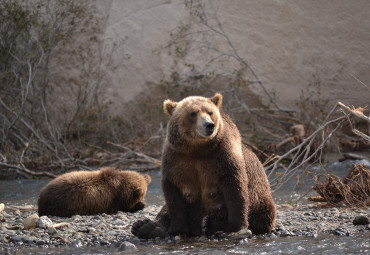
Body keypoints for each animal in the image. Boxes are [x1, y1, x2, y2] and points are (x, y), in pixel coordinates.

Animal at [132, 92, 274, 238]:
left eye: (210, 112)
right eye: (193, 113)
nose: (209, 125)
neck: (197, 149)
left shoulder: (223, 156)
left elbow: (235, 187)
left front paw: (235, 228)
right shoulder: (175, 159)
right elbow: (173, 194)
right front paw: (177, 229)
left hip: (260, 199)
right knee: (164, 209)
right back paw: (146, 226)